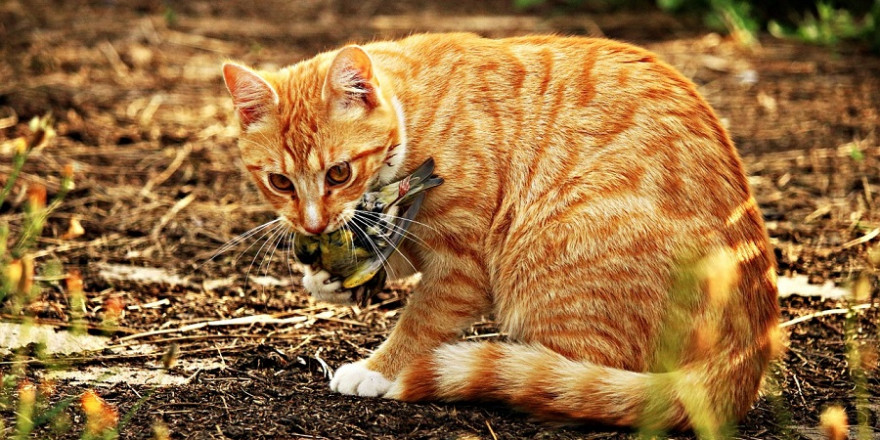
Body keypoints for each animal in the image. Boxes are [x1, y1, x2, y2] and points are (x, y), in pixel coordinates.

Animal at [223, 32, 780, 432]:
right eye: (279, 182)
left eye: (339, 173)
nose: (313, 224)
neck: (414, 117)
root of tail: (748, 354)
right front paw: (327, 277)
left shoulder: (461, 267)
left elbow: (420, 321)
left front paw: (378, 368)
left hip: (551, 254)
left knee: (584, 385)